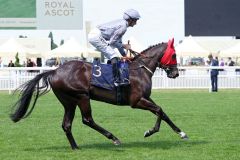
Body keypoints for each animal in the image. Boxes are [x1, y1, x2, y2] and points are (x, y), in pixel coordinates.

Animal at [10, 38, 188, 149]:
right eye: (174, 55)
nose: (175, 73)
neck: (140, 70)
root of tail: (54, 71)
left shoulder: (146, 97)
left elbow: (162, 112)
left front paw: (181, 133)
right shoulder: (136, 101)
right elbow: (158, 110)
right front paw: (150, 131)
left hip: (69, 101)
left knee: (66, 124)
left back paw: (75, 147)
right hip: (82, 97)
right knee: (87, 120)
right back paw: (114, 138)